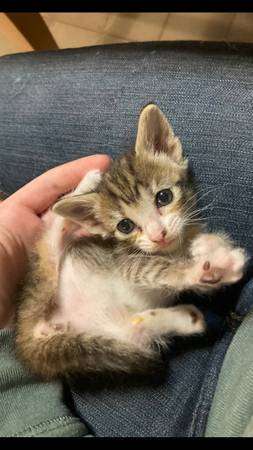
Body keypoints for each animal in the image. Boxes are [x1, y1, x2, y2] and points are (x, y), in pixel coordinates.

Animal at [14, 104, 247, 380]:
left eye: (164, 197)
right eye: (125, 226)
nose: (158, 235)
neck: (173, 249)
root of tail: (30, 339)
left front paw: (210, 246)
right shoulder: (126, 262)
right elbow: (158, 269)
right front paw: (202, 268)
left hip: (113, 335)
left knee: (135, 331)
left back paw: (186, 318)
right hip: (44, 280)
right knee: (51, 237)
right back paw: (84, 185)